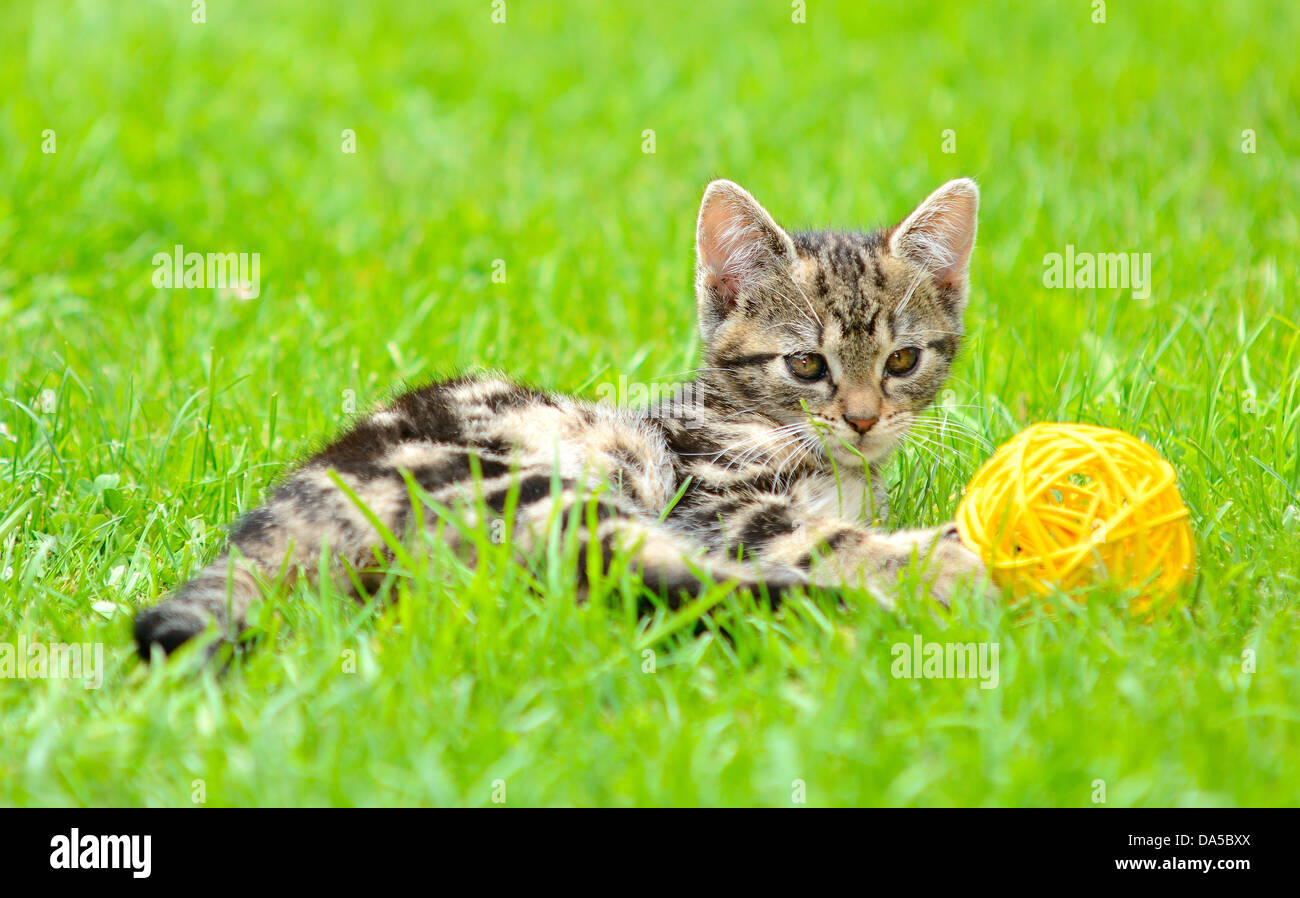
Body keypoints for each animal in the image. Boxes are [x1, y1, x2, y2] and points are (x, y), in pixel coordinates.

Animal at [134, 175, 982, 657]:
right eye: (806, 366)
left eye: (902, 361)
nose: (864, 420)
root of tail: (287, 509)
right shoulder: (715, 497)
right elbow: (823, 536)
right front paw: (940, 560)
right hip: (537, 489)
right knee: (654, 579)